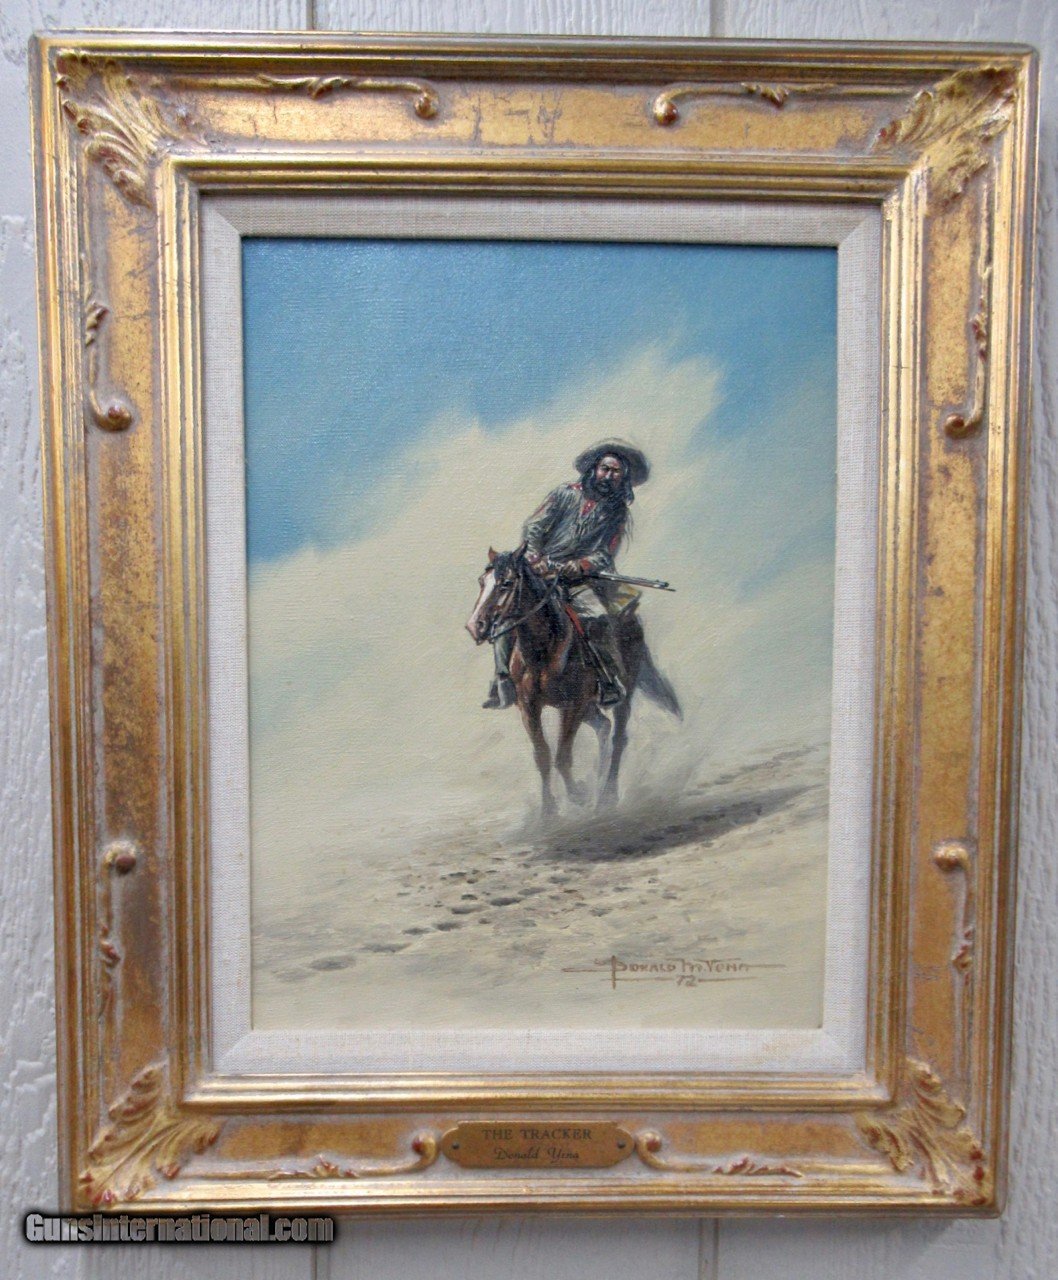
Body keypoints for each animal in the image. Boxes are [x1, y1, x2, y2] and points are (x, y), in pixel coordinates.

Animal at [465, 545, 681, 816]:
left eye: (506, 583)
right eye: (481, 581)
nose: (475, 626)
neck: (542, 651)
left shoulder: (572, 706)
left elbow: (562, 757)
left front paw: (577, 795)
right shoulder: (529, 707)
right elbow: (543, 756)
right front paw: (549, 812)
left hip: (622, 695)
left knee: (618, 738)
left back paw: (606, 796)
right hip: (589, 707)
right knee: (603, 726)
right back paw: (597, 784)